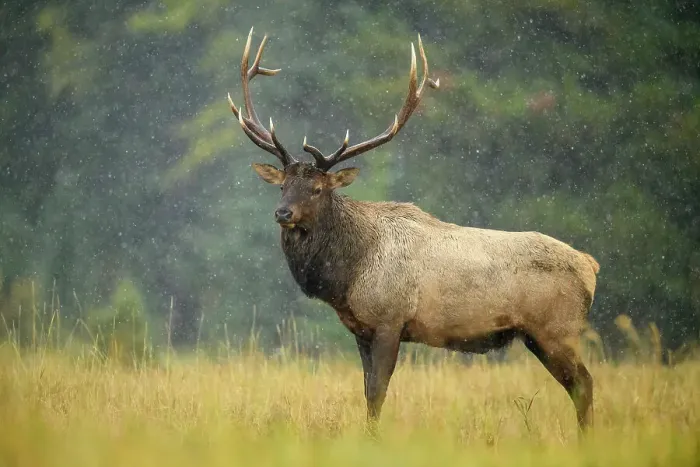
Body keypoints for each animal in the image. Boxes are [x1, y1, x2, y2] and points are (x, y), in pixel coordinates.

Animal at [226, 27, 600, 434]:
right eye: (282, 185)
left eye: (318, 188)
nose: (283, 213)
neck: (348, 274)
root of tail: (591, 266)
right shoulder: (361, 329)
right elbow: (366, 392)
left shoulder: (390, 319)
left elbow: (377, 392)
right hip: (539, 335)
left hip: (556, 328)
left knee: (584, 382)